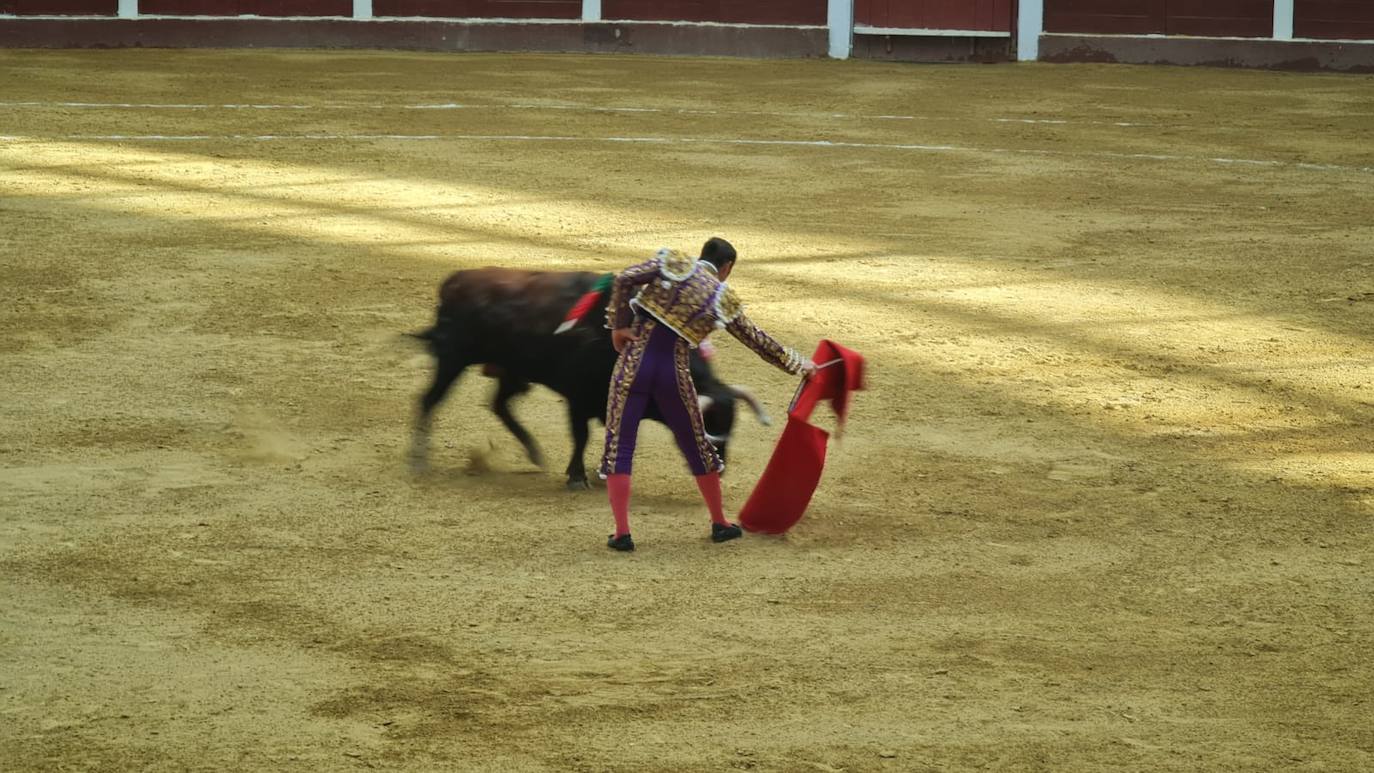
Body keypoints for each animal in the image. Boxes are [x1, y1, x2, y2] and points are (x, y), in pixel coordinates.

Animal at [406, 269, 774, 486]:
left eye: (731, 427)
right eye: (706, 425)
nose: (721, 470)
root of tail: (453, 283)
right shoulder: (577, 396)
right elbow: (581, 435)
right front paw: (577, 476)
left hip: (511, 371)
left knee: (499, 404)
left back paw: (534, 452)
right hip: (452, 360)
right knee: (429, 400)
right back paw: (419, 458)